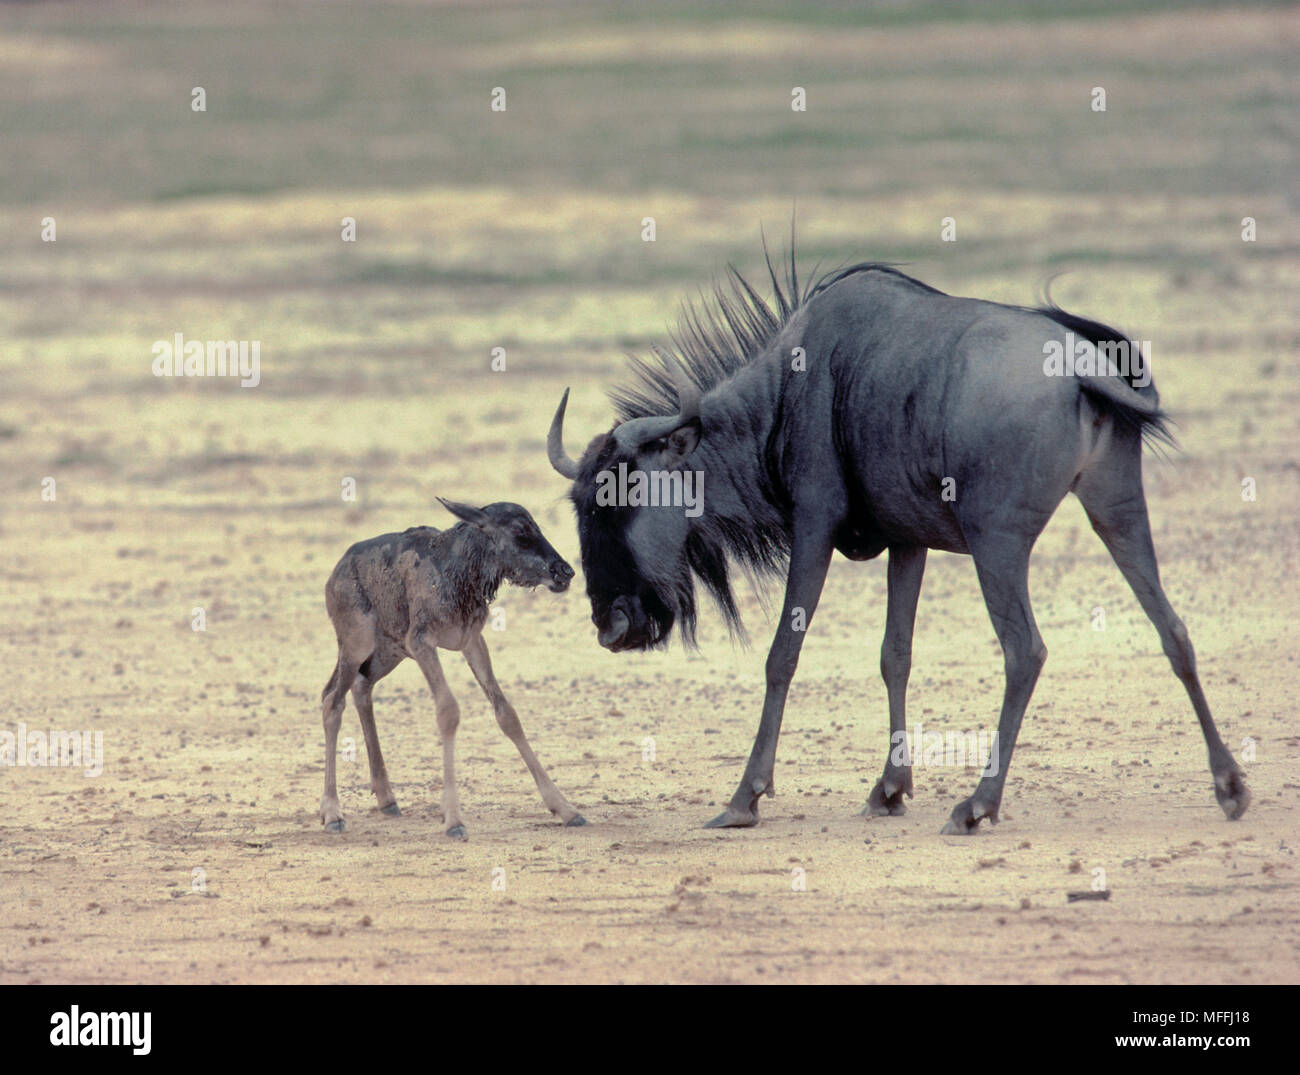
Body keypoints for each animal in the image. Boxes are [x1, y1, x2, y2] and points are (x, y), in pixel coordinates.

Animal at [314, 499, 585, 837]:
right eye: (520, 531)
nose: (565, 571)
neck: (461, 575)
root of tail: (332, 577)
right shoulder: (422, 642)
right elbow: (448, 711)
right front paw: (453, 818)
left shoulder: (472, 641)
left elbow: (506, 714)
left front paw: (566, 808)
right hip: (357, 645)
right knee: (331, 701)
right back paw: (332, 813)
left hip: (387, 652)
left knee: (360, 688)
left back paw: (387, 798)